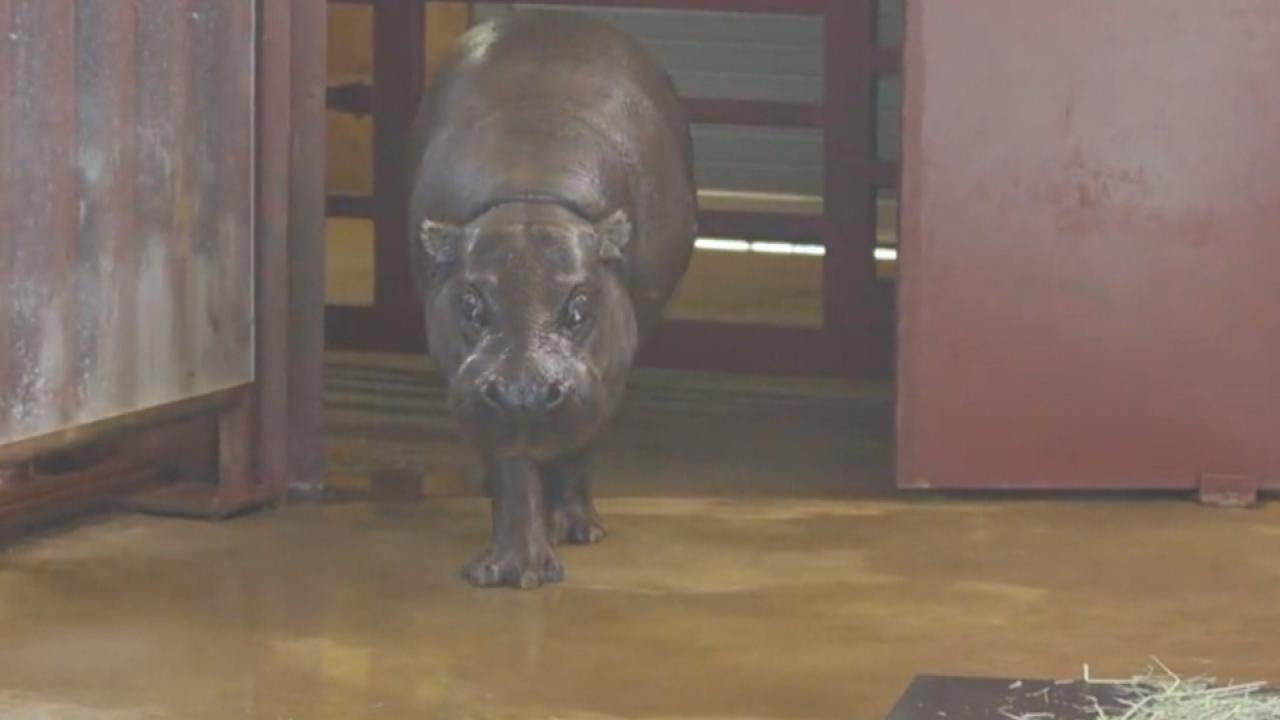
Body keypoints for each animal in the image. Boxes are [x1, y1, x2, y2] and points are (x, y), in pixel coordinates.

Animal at [406, 10, 697, 589]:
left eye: (580, 303)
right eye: (471, 302)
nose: (525, 392)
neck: (531, 193)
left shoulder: (607, 371)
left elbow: (583, 442)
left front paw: (576, 533)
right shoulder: (471, 378)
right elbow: (513, 463)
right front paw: (511, 575)